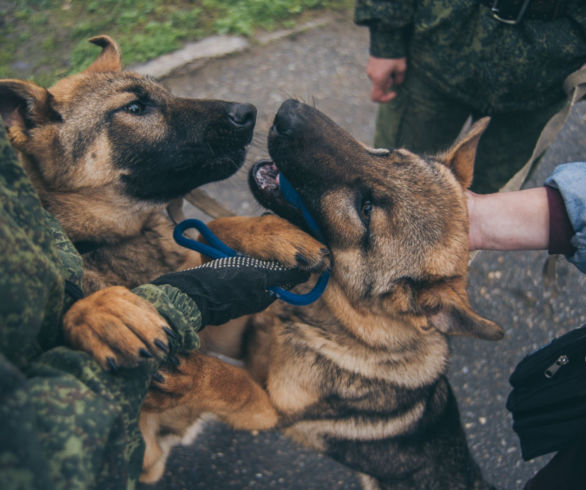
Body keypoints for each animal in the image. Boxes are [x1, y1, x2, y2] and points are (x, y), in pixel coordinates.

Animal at [0, 38, 326, 482]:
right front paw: (99, 313)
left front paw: (268, 233)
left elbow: (217, 229)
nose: (249, 113)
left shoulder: (232, 339)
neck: (125, 238)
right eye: (135, 108)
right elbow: (236, 383)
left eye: (167, 94)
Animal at [149, 101, 502, 488]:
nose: (288, 111)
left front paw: (192, 373)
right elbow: (215, 231)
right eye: (385, 152)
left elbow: (233, 384)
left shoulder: (269, 411)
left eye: (366, 210)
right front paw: (269, 236)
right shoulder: (240, 337)